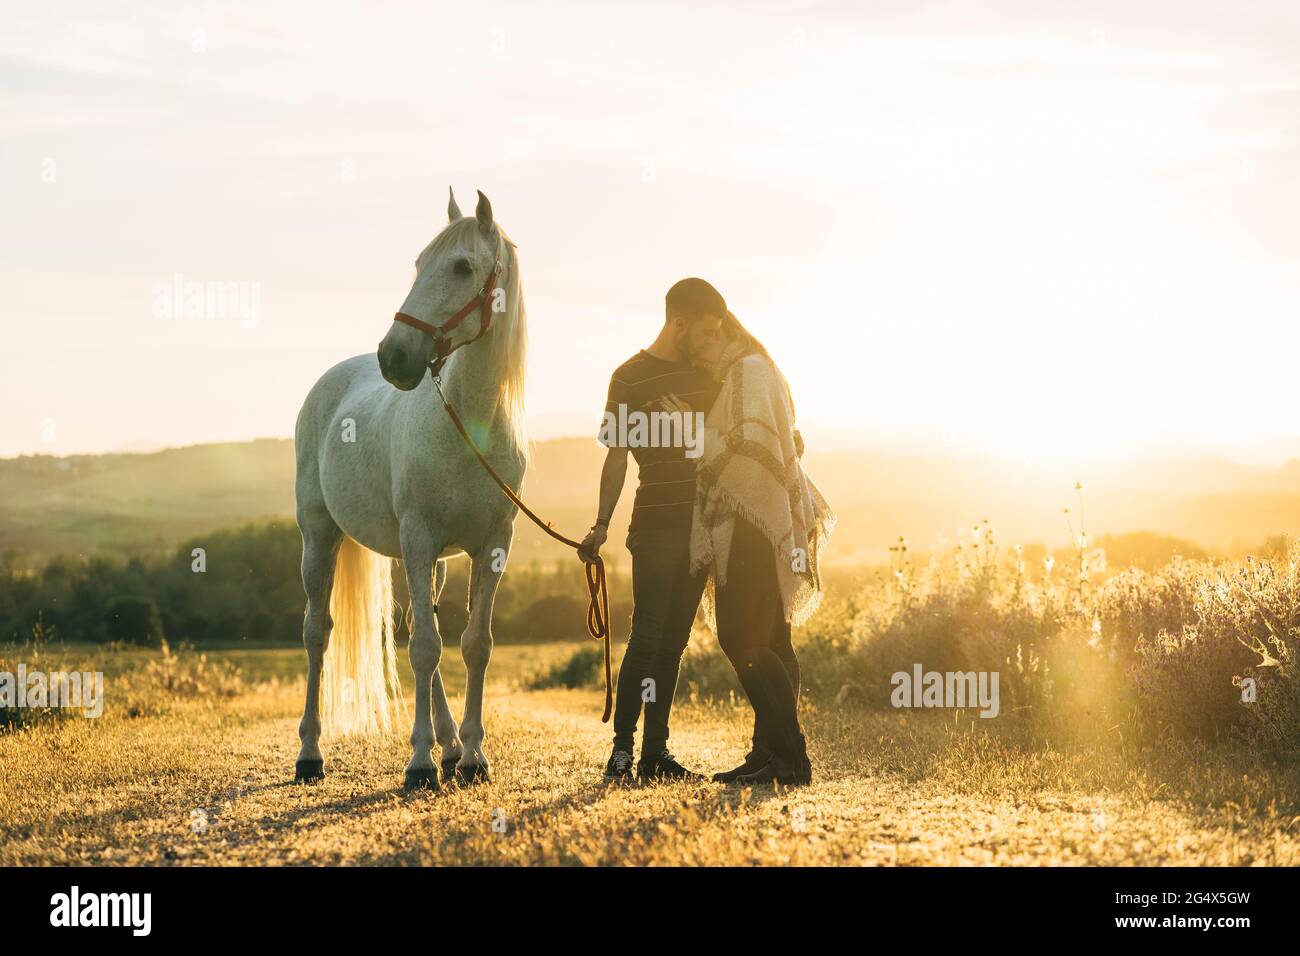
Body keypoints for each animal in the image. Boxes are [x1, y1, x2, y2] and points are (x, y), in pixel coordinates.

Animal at [292, 188, 525, 790]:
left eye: (462, 266)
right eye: (418, 264)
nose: (393, 357)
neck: (468, 422)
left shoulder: (493, 544)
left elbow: (473, 645)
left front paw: (472, 756)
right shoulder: (418, 537)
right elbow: (423, 649)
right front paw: (418, 763)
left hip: (431, 559)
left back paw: (449, 746)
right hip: (319, 538)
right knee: (317, 632)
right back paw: (310, 754)